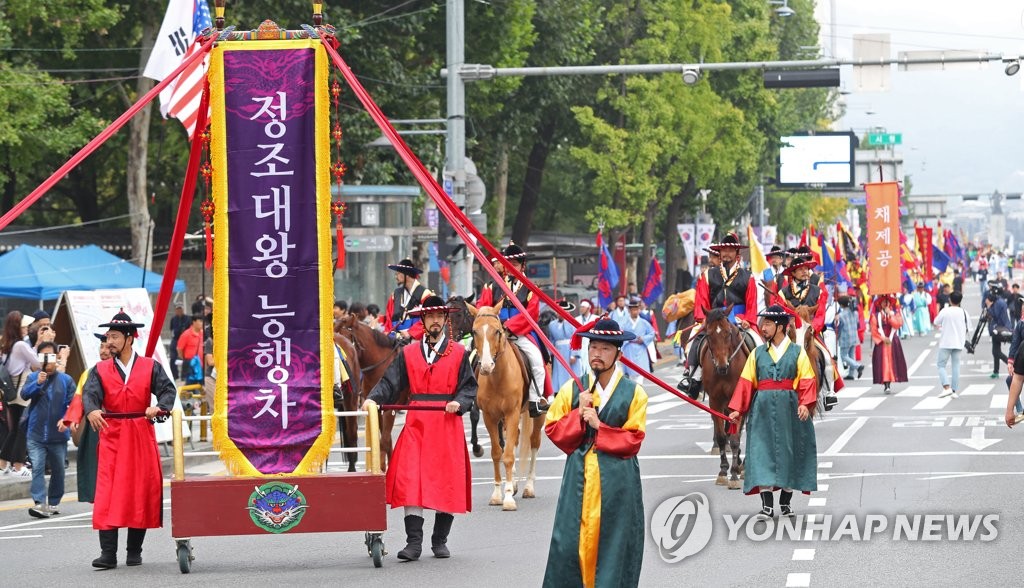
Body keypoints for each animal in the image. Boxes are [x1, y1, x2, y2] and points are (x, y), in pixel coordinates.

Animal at [468, 307, 544, 510]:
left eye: (497, 331)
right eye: (474, 332)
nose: (486, 366)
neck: (497, 377)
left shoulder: (512, 413)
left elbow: (508, 455)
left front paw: (508, 497)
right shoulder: (489, 416)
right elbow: (497, 453)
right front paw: (497, 494)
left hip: (537, 415)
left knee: (534, 443)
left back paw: (529, 487)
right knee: (515, 439)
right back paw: (516, 484)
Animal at [700, 307, 749, 491]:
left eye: (728, 333)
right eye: (708, 335)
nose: (721, 366)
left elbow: (735, 439)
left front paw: (733, 474)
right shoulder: (715, 401)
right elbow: (722, 437)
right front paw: (723, 471)